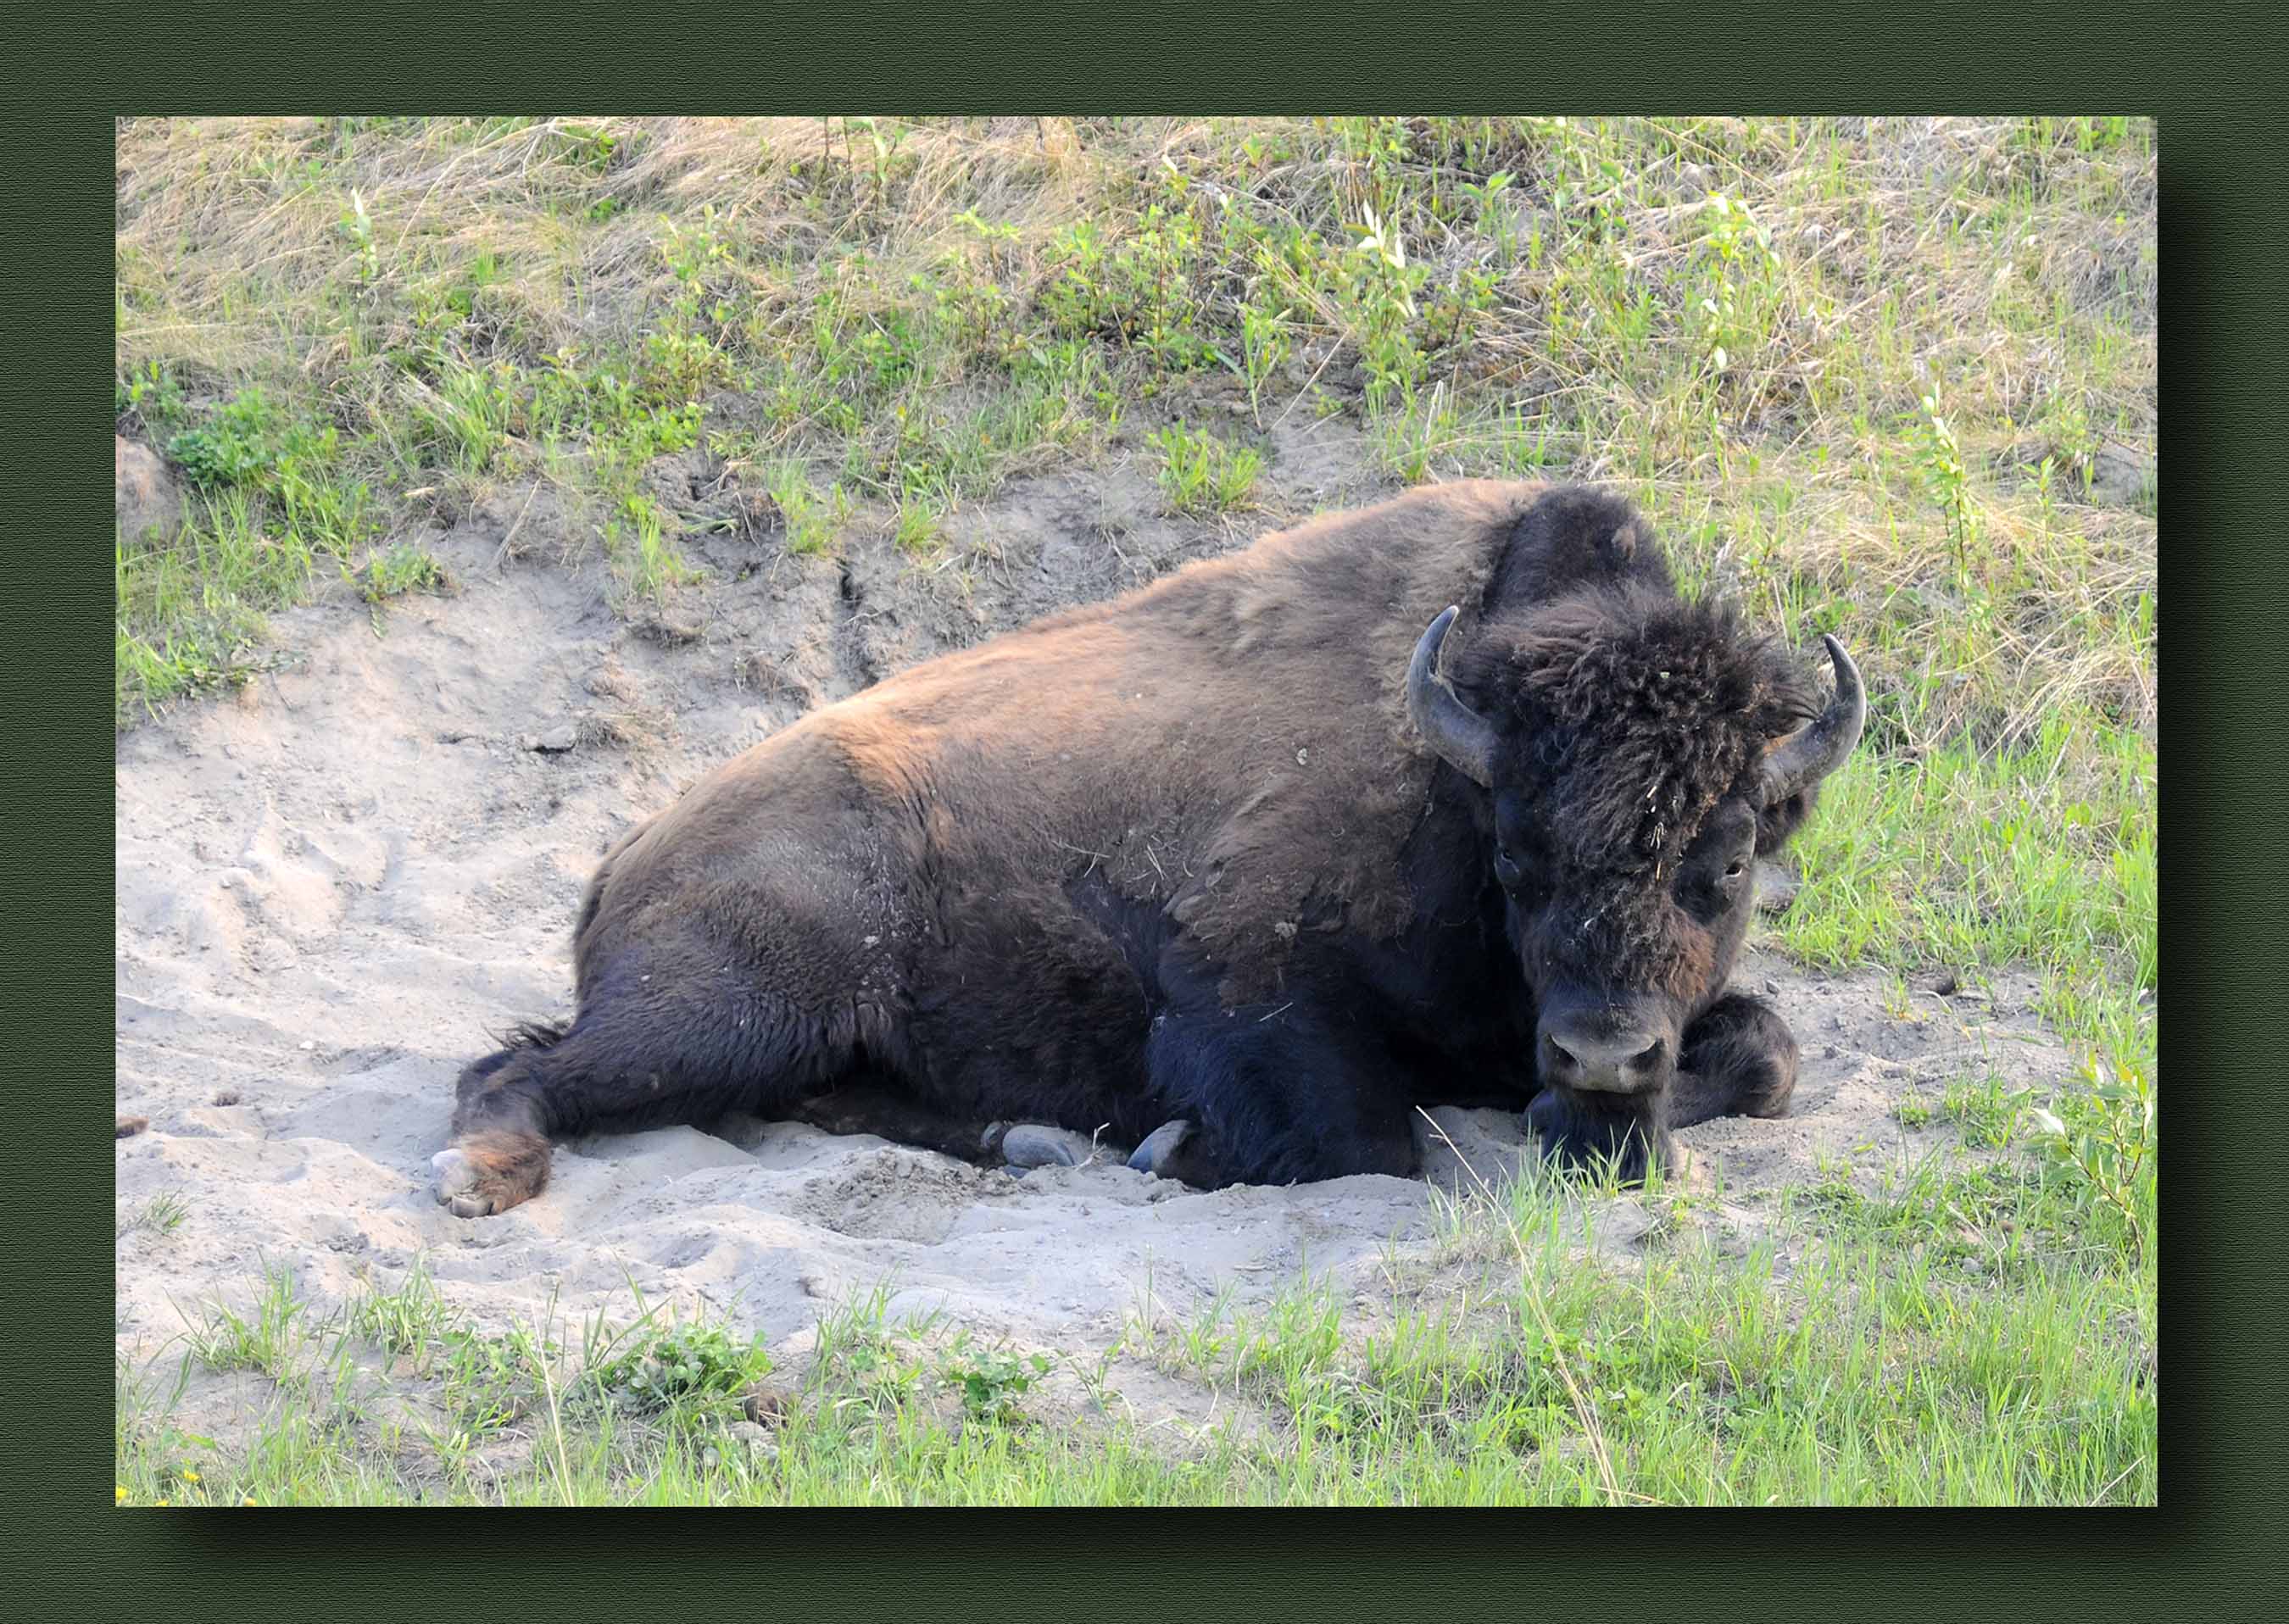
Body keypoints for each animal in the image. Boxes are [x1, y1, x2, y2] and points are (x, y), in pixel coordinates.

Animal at [430, 482, 1858, 1226]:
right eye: (1517, 858)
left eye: (1731, 862)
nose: (1603, 1059)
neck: (1448, 777)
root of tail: (627, 850)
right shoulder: (1237, 995)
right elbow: (1365, 1139)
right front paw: (1172, 1149)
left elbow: (1772, 1052)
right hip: (735, 1008)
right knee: (514, 1067)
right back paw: (481, 1178)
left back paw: (1028, 1142)